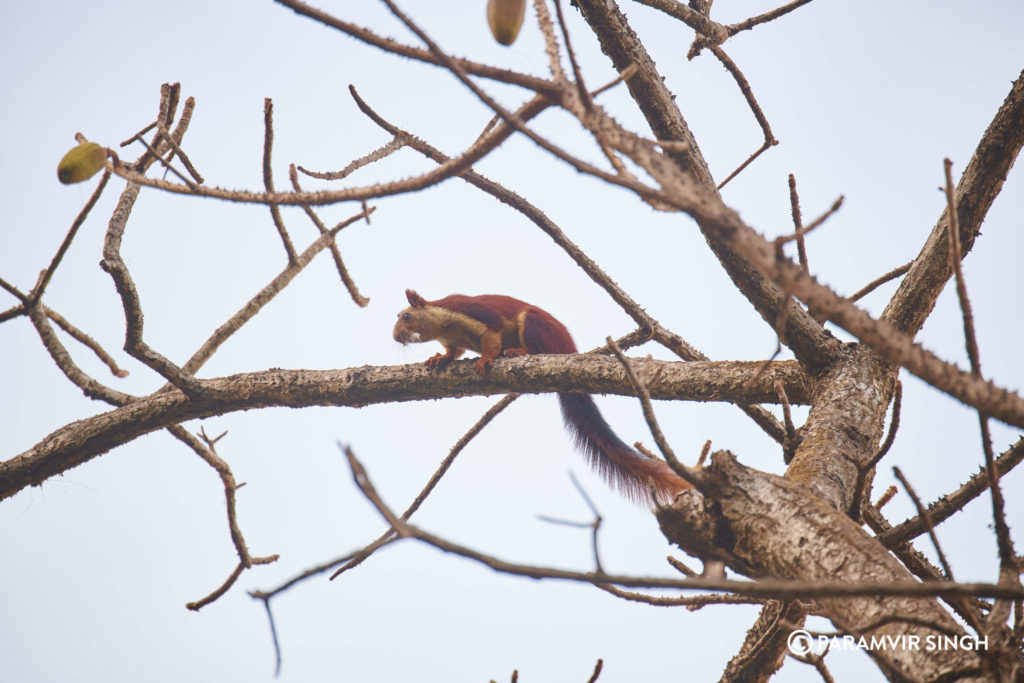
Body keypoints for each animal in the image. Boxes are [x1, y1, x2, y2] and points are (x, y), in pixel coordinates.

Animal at [389, 288, 688, 501]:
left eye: (406, 316)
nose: (394, 337)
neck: (444, 325)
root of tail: (568, 349)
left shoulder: (476, 313)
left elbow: (492, 336)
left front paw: (486, 358)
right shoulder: (453, 342)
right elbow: (453, 352)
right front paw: (438, 358)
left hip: (534, 325)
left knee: (533, 340)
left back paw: (518, 351)